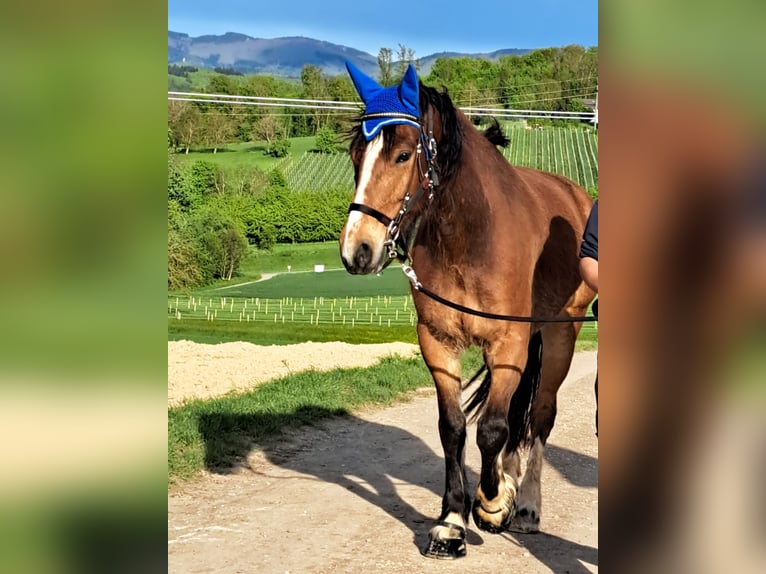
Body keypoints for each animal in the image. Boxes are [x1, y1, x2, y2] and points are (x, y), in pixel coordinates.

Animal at [342, 64, 600, 564]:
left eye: (403, 154)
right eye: (354, 154)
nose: (356, 250)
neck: (469, 238)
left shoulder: (508, 344)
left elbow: (492, 429)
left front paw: (493, 504)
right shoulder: (437, 342)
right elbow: (454, 429)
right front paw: (451, 522)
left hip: (561, 334)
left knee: (540, 416)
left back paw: (527, 505)